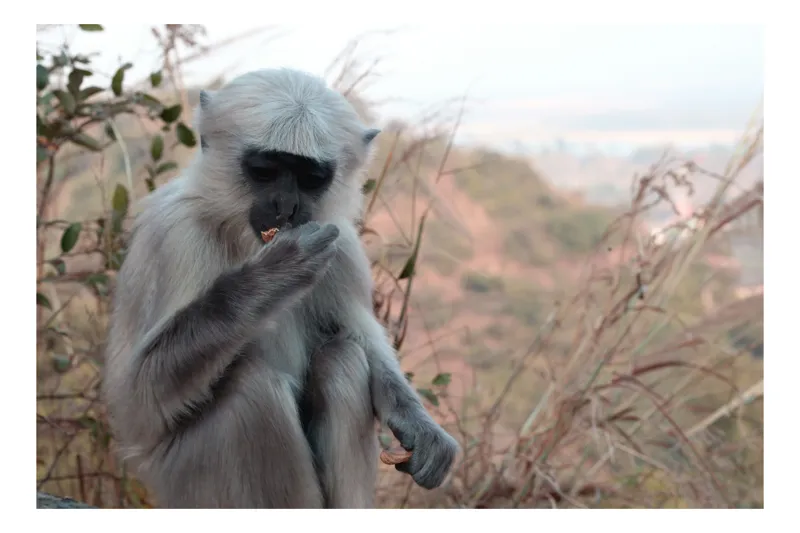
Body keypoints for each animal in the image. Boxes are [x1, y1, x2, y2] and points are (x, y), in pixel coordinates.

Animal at [101, 67, 459, 509]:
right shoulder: (176, 231)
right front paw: (276, 274)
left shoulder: (340, 242)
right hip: (183, 481)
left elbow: (359, 336)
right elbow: (140, 399)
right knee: (254, 389)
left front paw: (420, 426)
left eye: (310, 178)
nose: (286, 207)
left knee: (341, 358)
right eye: (265, 170)